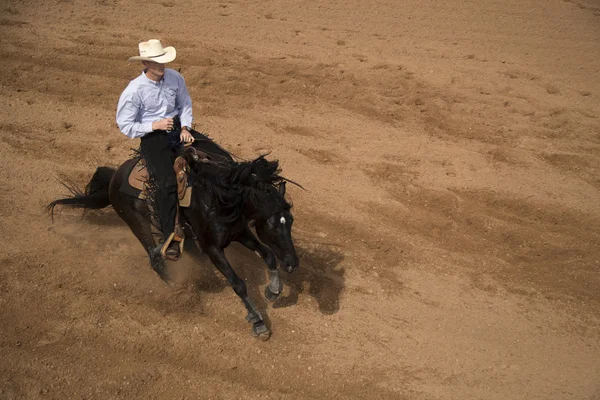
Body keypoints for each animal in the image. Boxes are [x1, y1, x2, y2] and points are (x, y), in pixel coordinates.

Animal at [48, 145, 300, 340]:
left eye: (290, 221)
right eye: (273, 224)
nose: (292, 264)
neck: (220, 198)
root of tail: (116, 176)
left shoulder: (239, 233)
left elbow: (268, 254)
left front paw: (273, 291)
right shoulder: (212, 247)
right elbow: (237, 283)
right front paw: (258, 322)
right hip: (137, 224)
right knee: (155, 258)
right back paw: (178, 292)